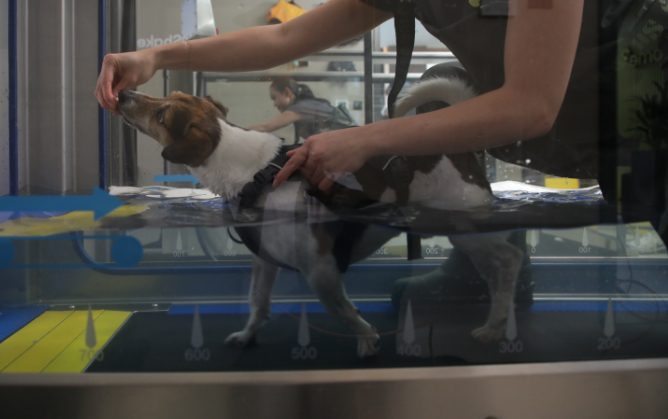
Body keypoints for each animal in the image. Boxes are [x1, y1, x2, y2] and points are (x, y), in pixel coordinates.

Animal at [117, 77, 524, 357]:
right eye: (166, 99)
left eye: (161, 114)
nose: (123, 94)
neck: (255, 173)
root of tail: (464, 152)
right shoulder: (265, 260)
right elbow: (257, 301)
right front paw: (248, 335)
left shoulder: (321, 269)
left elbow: (340, 308)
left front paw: (365, 338)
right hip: (465, 236)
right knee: (493, 271)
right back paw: (496, 319)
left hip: (462, 225)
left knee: (509, 260)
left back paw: (495, 325)